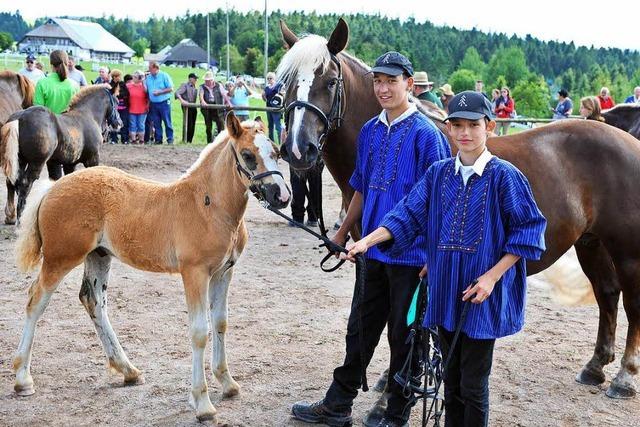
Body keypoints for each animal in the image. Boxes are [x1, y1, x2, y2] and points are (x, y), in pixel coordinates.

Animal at [11, 114, 292, 424]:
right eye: (247, 155)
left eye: (276, 152)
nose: (281, 196)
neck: (208, 206)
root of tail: (52, 187)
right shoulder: (194, 273)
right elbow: (199, 331)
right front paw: (202, 403)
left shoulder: (224, 272)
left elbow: (220, 322)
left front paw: (228, 383)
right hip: (60, 258)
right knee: (35, 301)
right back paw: (23, 379)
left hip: (99, 256)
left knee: (93, 301)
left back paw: (128, 371)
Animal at [278, 19, 640, 402]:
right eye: (286, 83)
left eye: (330, 81)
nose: (298, 149)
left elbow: (405, 323)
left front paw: (399, 383)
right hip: (591, 243)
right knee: (607, 293)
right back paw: (595, 367)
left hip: (627, 251)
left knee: (632, 304)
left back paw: (624, 377)